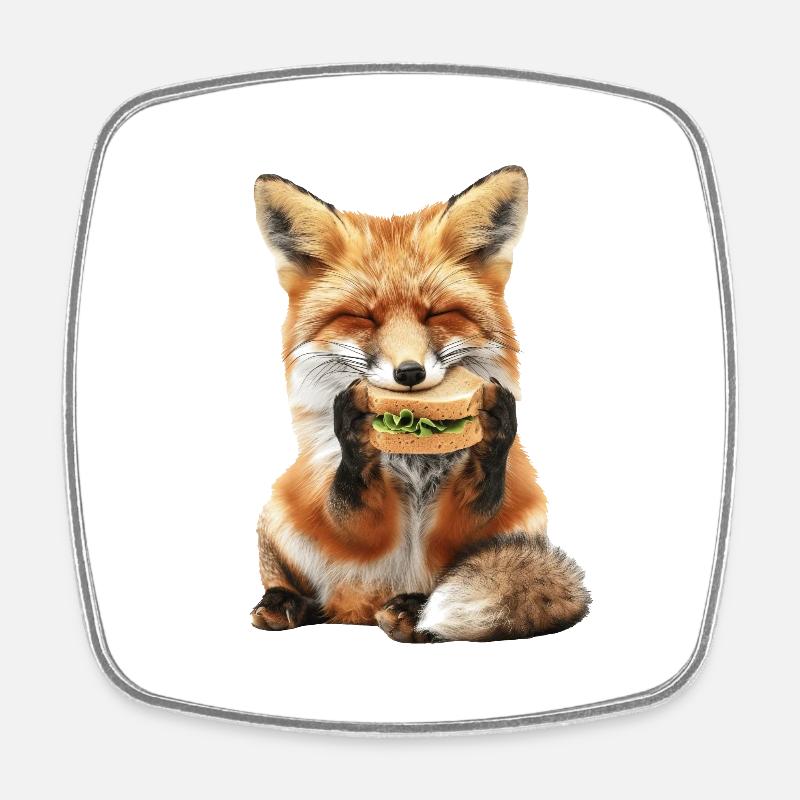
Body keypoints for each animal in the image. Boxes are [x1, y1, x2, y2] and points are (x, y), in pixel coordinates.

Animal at [250, 166, 590, 643]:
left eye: (436, 314)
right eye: (363, 317)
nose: (408, 373)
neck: (415, 464)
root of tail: (356, 611)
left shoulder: (477, 525)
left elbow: (475, 507)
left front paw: (498, 425)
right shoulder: (341, 508)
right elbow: (351, 512)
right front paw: (352, 425)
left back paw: (411, 612)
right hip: (279, 512)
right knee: (298, 585)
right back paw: (286, 602)